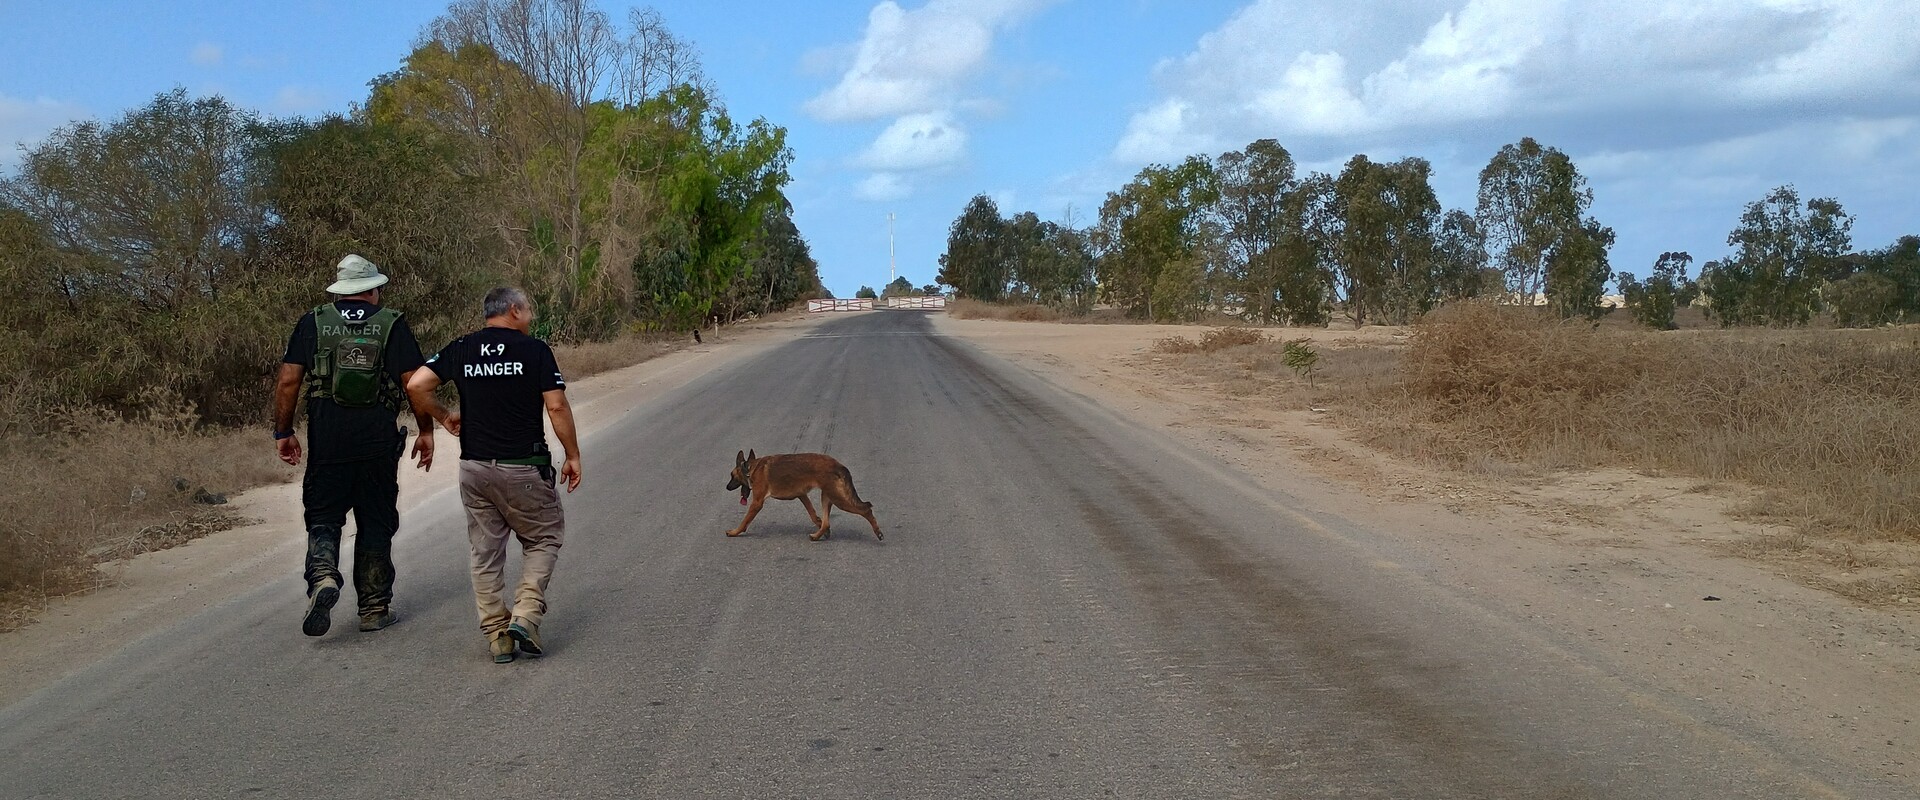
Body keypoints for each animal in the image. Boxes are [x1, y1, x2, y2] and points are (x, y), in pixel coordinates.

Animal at [721, 448, 879, 541]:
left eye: (731, 476)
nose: (727, 487)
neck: (750, 468)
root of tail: (839, 465)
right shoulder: (802, 495)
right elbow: (813, 515)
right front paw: (821, 525)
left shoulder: (757, 503)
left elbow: (745, 520)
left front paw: (735, 532)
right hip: (827, 496)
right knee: (827, 521)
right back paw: (818, 535)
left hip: (838, 498)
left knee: (866, 509)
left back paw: (878, 532)